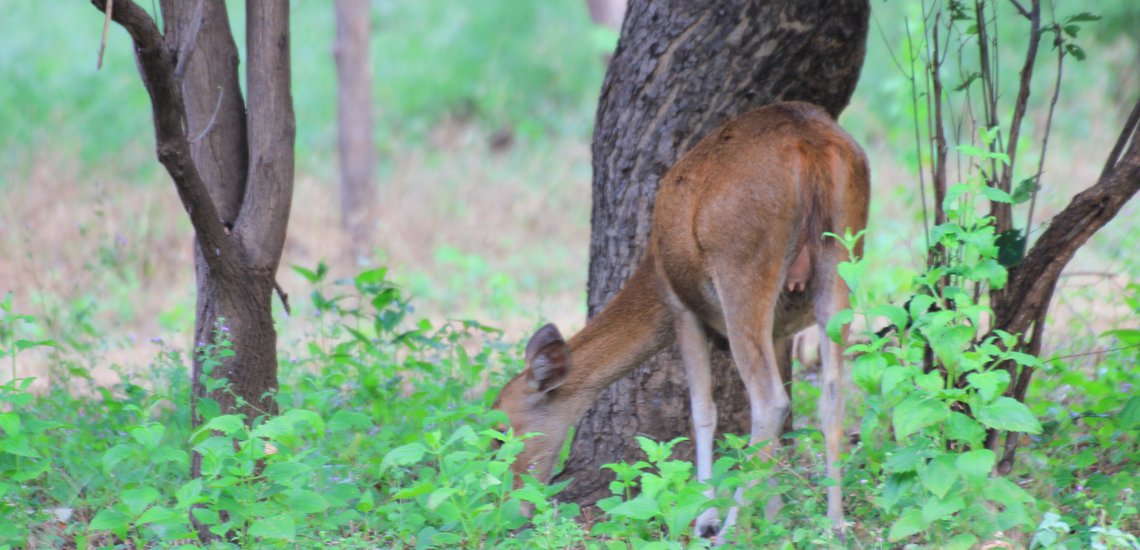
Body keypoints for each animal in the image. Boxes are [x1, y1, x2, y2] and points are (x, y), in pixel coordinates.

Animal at [492, 100, 870, 538]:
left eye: (502, 432)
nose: (510, 511)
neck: (652, 274)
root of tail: (809, 145)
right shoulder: (779, 330)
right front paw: (773, 517)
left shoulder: (682, 310)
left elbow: (702, 411)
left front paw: (706, 517)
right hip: (843, 257)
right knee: (831, 393)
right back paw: (835, 523)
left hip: (742, 265)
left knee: (770, 401)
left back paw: (729, 532)